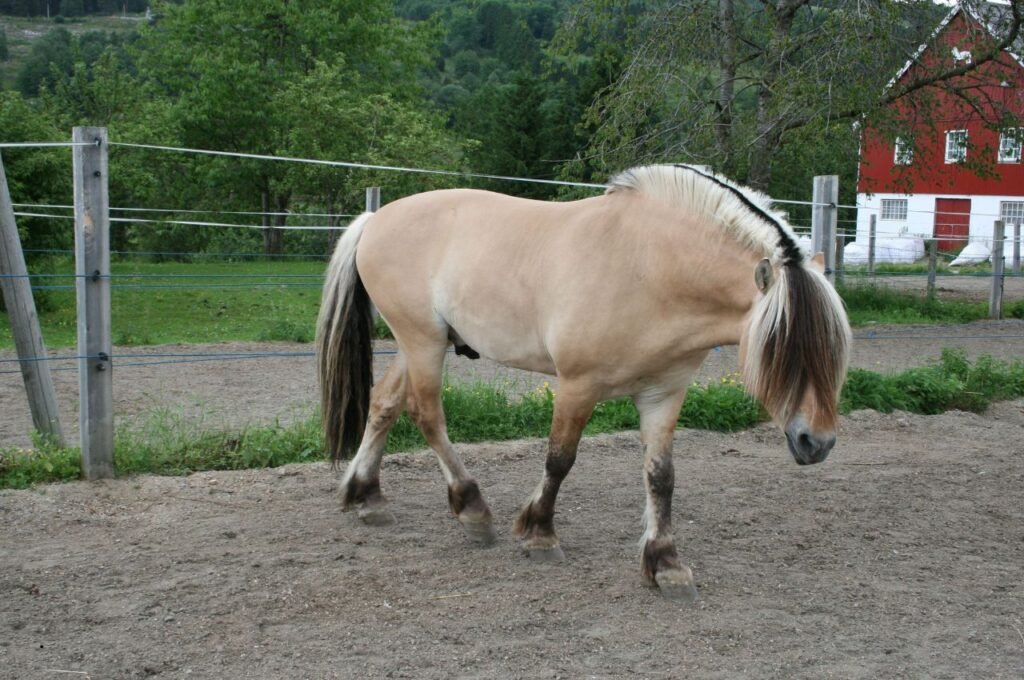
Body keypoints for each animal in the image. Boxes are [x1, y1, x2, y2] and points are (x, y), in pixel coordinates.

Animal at [316, 164, 851, 600]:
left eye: (834, 350)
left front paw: (665, 564)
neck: (652, 266)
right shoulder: (577, 385)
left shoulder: (663, 394)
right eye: (780, 348)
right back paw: (472, 509)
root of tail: (375, 220)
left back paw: (367, 496)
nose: (818, 442)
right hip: (423, 342)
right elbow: (560, 460)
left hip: (417, 345)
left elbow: (661, 476)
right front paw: (539, 534)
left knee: (385, 403)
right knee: (427, 415)